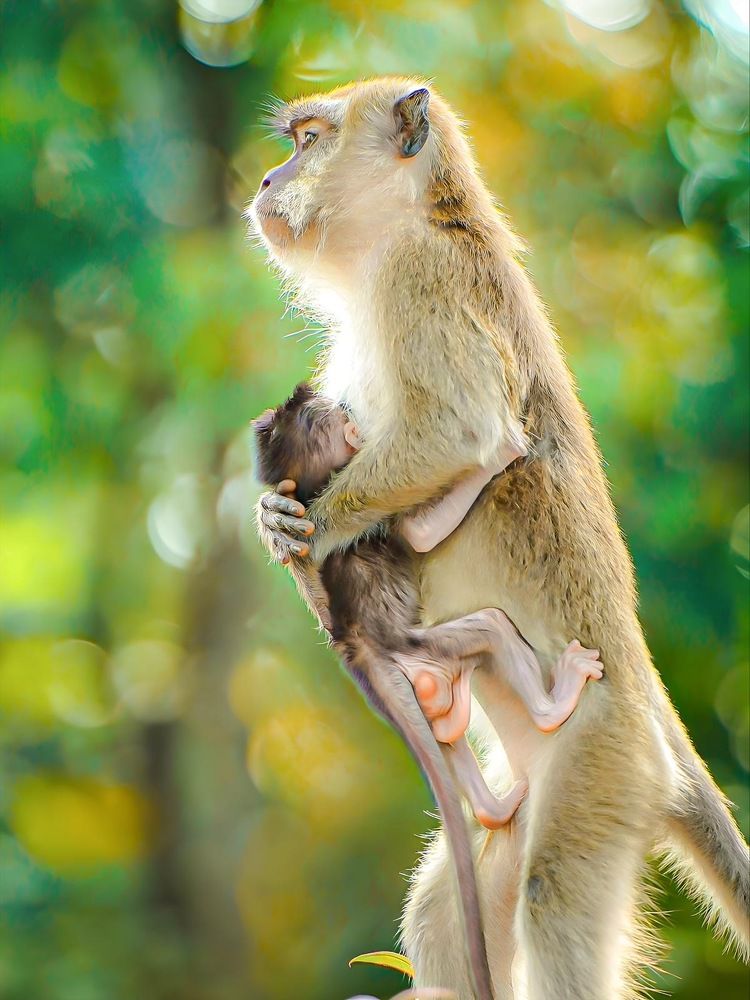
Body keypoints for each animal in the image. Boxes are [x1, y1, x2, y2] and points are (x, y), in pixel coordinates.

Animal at [251, 382, 604, 1000]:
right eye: (331, 415)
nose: (345, 407)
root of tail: (362, 650)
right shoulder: (383, 521)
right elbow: (417, 533)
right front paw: (497, 454)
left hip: (423, 682)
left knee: (445, 738)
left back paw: (493, 807)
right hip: (426, 647)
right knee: (491, 627)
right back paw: (551, 707)